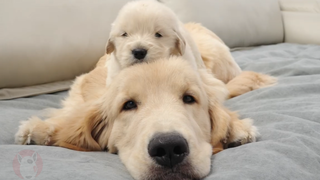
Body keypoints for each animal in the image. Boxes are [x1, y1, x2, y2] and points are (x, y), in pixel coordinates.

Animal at [23, 57, 258, 180]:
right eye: (128, 105)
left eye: (189, 98)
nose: (169, 148)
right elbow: (69, 123)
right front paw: (39, 130)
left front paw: (236, 129)